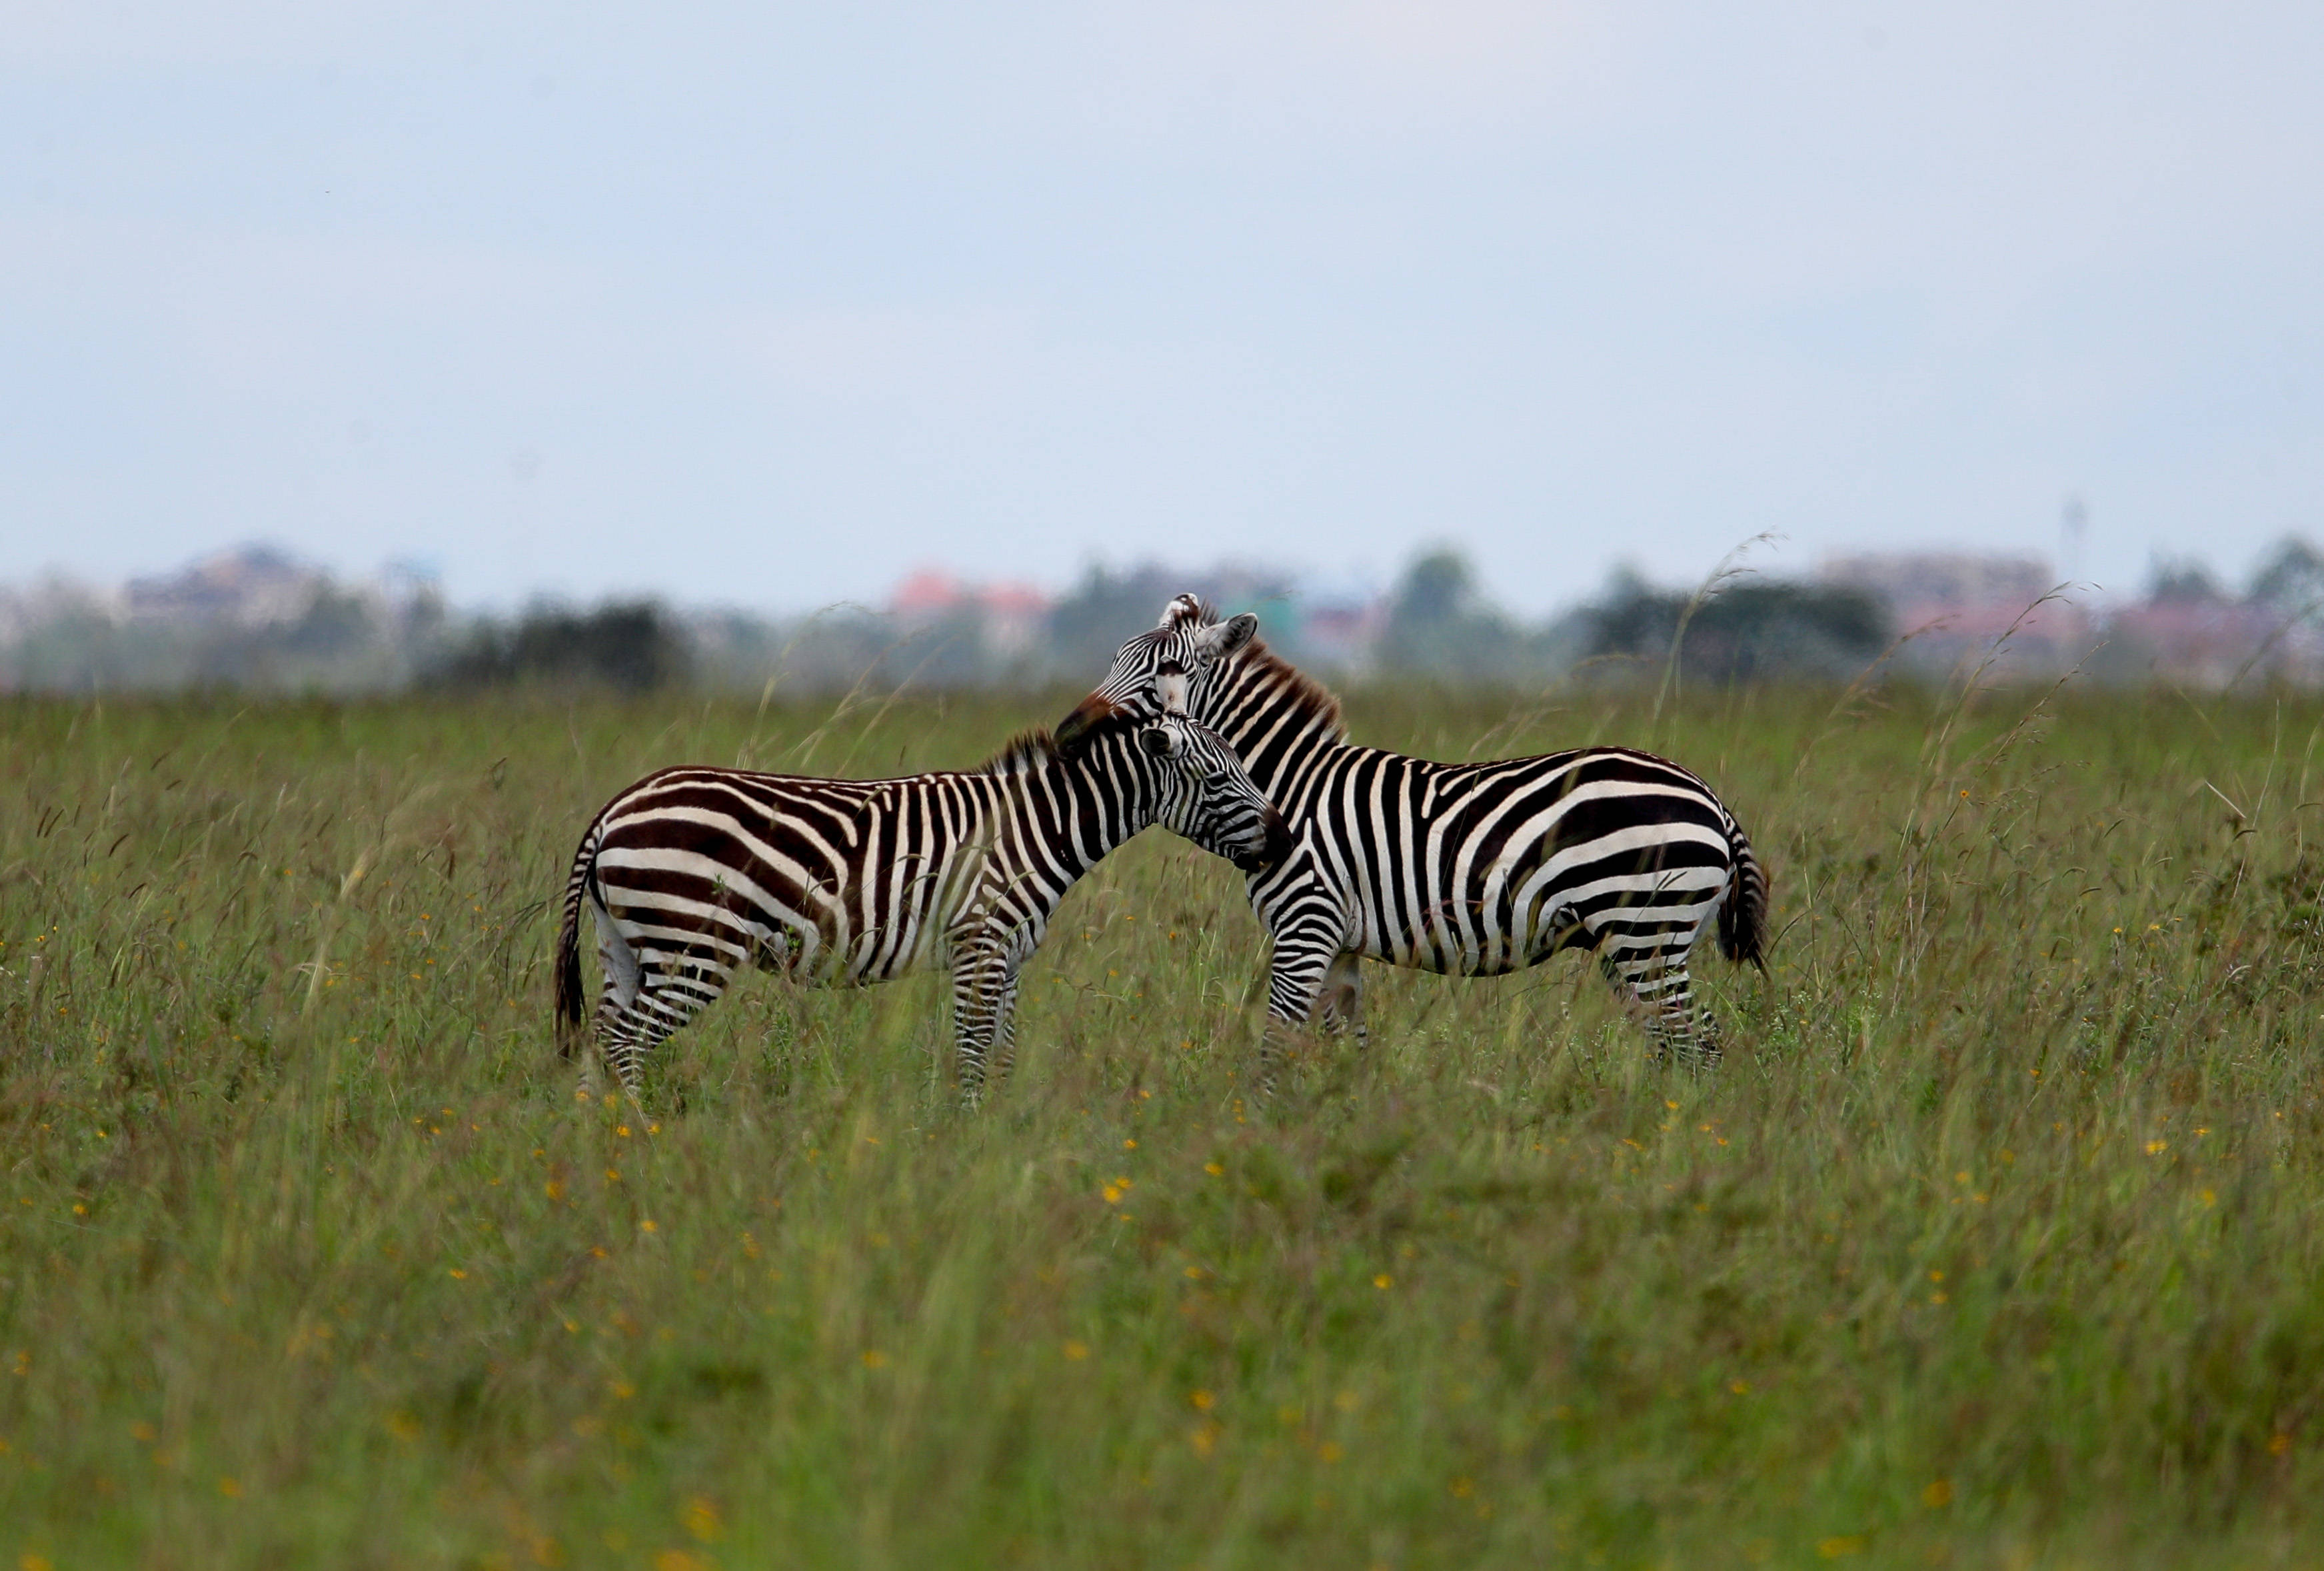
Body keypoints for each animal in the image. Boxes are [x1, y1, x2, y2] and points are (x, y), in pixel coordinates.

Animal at [555, 715, 1301, 1106]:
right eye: (1217, 778)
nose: (1286, 839)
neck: (1033, 827)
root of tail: (615, 808)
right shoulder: (980, 943)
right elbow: (972, 1046)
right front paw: (967, 1135)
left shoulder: (1009, 955)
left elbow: (1002, 1049)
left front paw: (998, 1135)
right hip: (693, 947)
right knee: (625, 1041)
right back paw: (642, 1137)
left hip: (624, 945)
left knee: (602, 1035)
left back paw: (602, 1147)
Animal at [1050, 595, 1757, 1087]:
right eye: (1113, 659)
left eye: (1167, 669)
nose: (1065, 735)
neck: (1288, 785)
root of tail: (1712, 798)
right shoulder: (1336, 942)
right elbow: (1347, 1049)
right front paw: (1351, 1124)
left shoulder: (1305, 925)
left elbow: (1279, 1043)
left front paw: (1257, 1128)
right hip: (1635, 943)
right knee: (1680, 1045)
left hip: (1646, 933)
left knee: (1700, 1047)